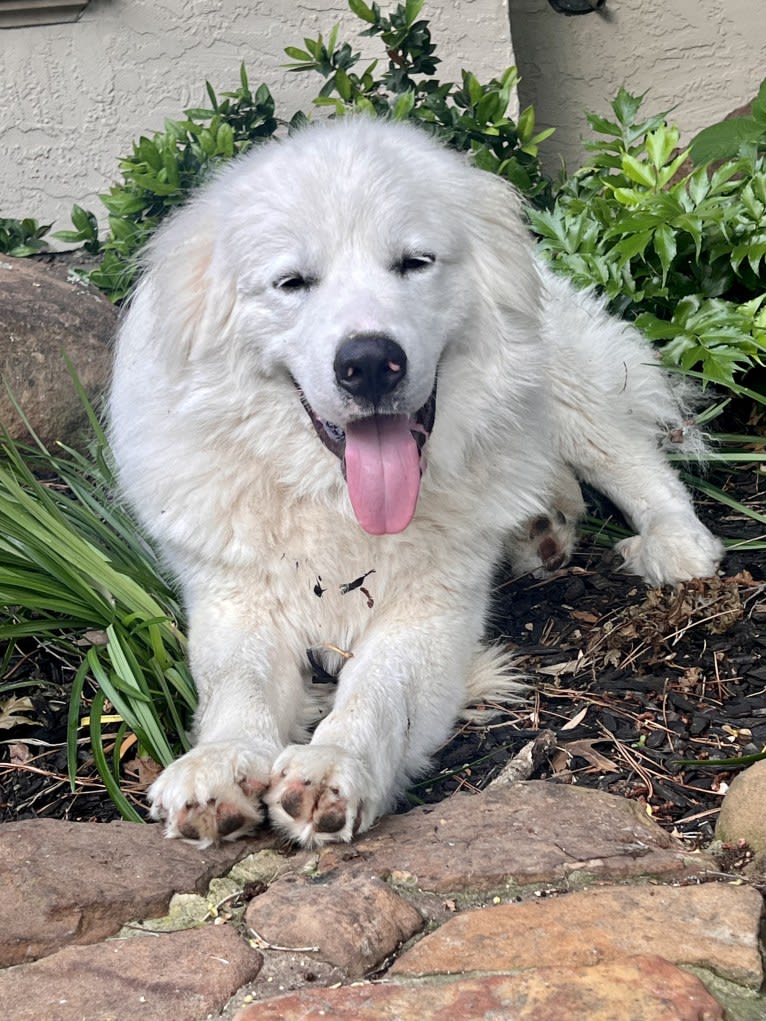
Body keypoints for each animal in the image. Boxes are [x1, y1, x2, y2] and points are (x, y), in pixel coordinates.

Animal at [109, 117, 727, 845]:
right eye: (292, 282)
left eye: (413, 263)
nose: (371, 363)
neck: (339, 503)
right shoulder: (236, 602)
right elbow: (237, 684)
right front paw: (221, 764)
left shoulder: (429, 617)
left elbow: (380, 691)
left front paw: (332, 765)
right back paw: (542, 529)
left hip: (565, 385)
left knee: (635, 459)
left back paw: (673, 543)